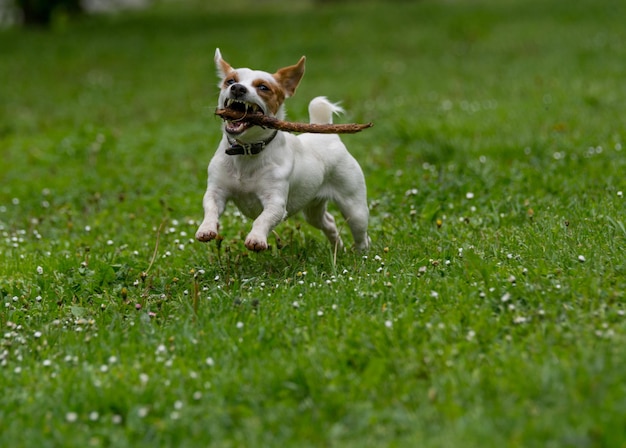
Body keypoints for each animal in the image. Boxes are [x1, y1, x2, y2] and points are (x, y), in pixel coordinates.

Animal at [195, 48, 368, 252]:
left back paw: (361, 254)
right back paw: (337, 249)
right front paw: (206, 228)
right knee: (329, 222)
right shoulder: (216, 192)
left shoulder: (275, 203)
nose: (237, 88)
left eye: (263, 87)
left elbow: (262, 219)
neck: (246, 150)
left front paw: (256, 238)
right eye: (230, 81)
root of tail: (328, 134)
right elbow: (211, 208)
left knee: (361, 234)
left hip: (354, 207)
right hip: (313, 209)